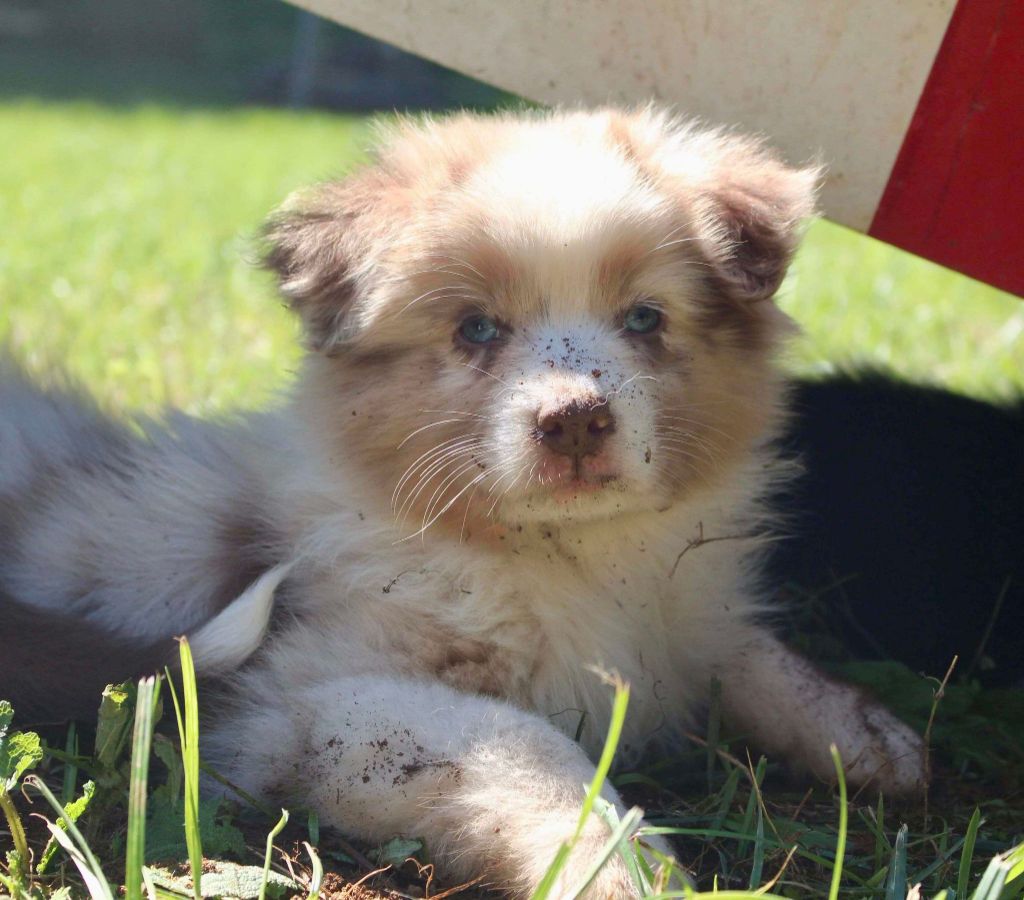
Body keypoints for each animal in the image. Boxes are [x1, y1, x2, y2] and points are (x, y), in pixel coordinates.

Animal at [0, 109, 925, 896]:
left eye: (644, 318)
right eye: (477, 329)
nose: (575, 420)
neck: (564, 555)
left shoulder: (681, 615)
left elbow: (748, 652)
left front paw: (870, 737)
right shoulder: (299, 700)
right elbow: (525, 744)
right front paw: (619, 864)